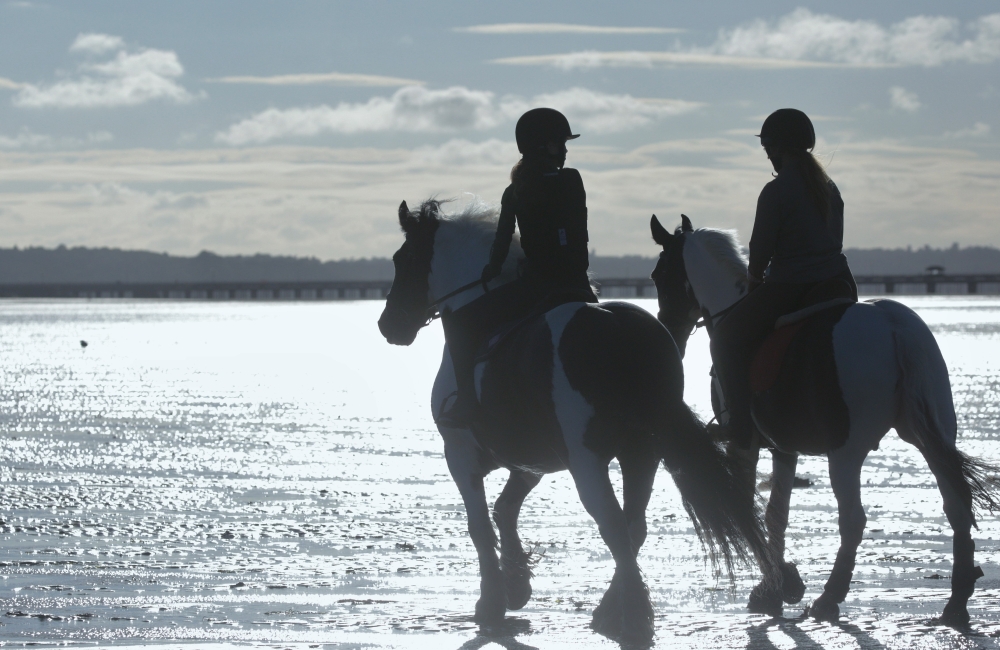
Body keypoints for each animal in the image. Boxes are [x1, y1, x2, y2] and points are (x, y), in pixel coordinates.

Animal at [376, 199, 772, 644]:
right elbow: (504, 509)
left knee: (614, 525)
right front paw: (516, 584)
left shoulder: (459, 454)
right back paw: (614, 608)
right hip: (642, 453)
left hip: (590, 460)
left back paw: (633, 616)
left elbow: (481, 525)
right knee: (633, 525)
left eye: (402, 259)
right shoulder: (532, 461)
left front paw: (492, 600)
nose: (388, 323)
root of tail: (623, 331)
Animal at [644, 213, 996, 624]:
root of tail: (892, 325)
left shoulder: (743, 441)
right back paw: (956, 602)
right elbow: (775, 513)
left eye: (658, 274)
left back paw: (830, 596)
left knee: (854, 519)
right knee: (956, 504)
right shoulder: (782, 447)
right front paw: (775, 585)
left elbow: (749, 507)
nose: (668, 330)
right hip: (930, 437)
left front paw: (779, 583)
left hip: (845, 451)